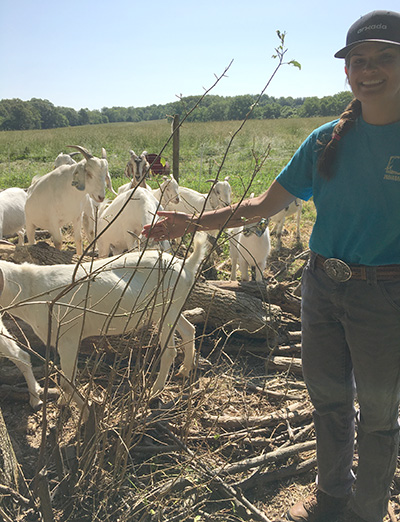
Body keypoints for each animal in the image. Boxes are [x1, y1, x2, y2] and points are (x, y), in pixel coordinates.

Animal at [0, 232, 209, 410]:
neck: (31, 289)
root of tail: (187, 265)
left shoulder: (68, 337)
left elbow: (67, 380)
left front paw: (75, 407)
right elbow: (68, 376)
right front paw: (64, 402)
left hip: (167, 309)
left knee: (170, 352)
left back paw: (154, 392)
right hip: (173, 309)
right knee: (188, 329)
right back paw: (184, 370)